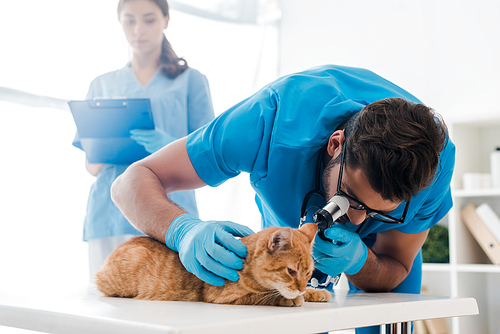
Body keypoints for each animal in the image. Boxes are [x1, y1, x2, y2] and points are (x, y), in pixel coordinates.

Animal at [96, 223, 332, 306]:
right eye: (291, 271)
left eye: (308, 273)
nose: (301, 288)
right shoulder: (223, 297)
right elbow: (263, 296)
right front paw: (291, 299)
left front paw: (315, 292)